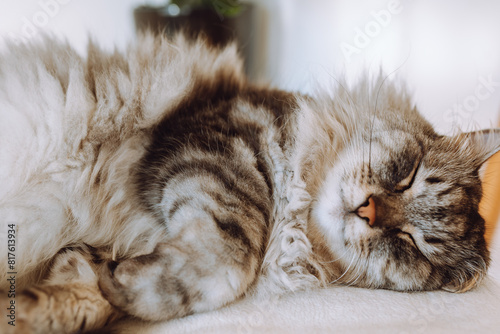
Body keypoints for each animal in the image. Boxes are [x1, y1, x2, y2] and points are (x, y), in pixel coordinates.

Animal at [0, 34, 498, 334]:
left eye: (412, 244)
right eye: (408, 174)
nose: (368, 210)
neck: (294, 226)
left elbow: (95, 293)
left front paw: (98, 290)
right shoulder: (217, 139)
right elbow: (232, 254)